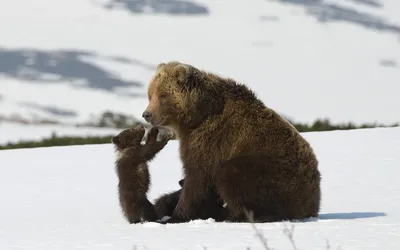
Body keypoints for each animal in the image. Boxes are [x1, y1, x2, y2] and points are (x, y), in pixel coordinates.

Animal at [142, 61, 320, 224]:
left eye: (163, 94)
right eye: (150, 94)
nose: (146, 114)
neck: (197, 115)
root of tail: (313, 202)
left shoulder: (211, 140)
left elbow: (198, 177)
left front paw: (175, 216)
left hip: (275, 172)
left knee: (232, 175)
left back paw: (234, 216)